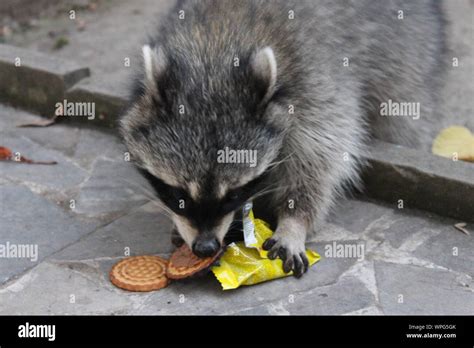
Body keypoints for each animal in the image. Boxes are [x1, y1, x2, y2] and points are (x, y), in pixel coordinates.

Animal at [120, 0, 446, 278]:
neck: (214, 48)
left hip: (410, 54)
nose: (205, 247)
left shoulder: (315, 82)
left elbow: (321, 156)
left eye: (235, 194)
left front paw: (294, 220)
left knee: (402, 120)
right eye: (178, 194)